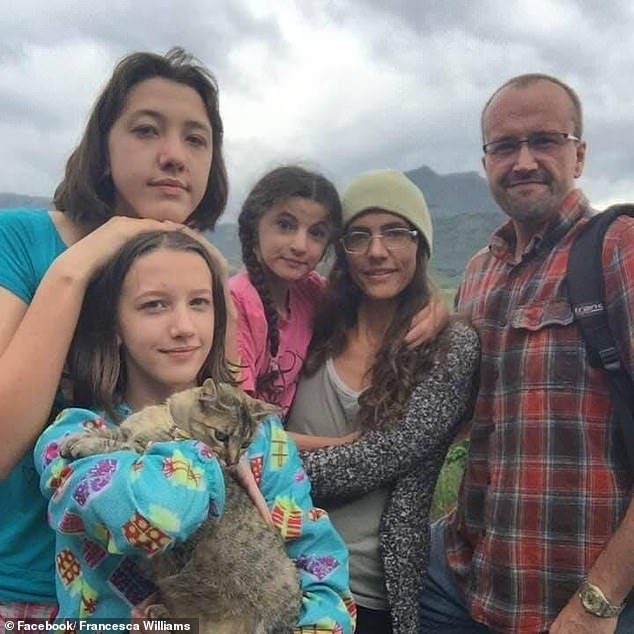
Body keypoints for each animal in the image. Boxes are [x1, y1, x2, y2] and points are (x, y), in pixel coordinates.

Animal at [59, 378, 304, 628]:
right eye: (221, 436)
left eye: (245, 443)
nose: (232, 461)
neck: (167, 418)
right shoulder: (127, 431)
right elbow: (110, 431)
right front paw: (75, 438)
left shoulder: (142, 451)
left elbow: (116, 444)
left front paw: (84, 445)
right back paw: (161, 613)